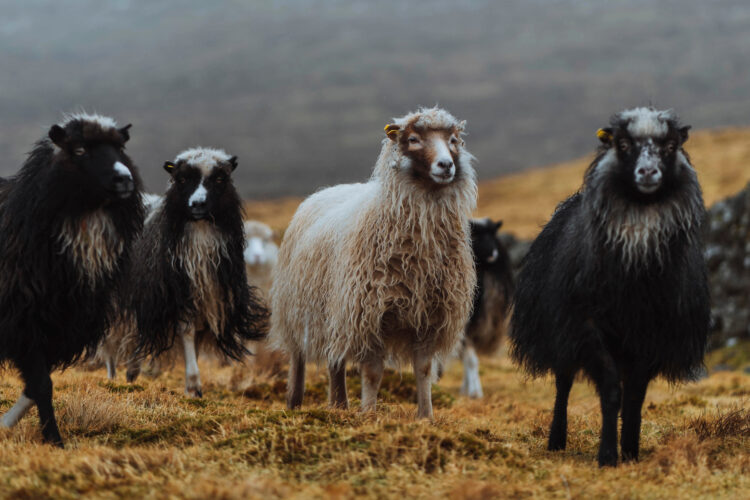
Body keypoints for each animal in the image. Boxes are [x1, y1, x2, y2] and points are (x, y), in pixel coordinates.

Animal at [0, 113, 144, 446]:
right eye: (79, 150)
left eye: (120, 148)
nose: (124, 179)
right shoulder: (25, 320)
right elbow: (42, 385)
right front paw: (54, 440)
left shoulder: (64, 324)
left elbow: (36, 385)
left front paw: (7, 424)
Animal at [126, 147, 268, 397]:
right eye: (182, 179)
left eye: (220, 179)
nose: (198, 204)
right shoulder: (180, 294)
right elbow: (187, 331)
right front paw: (193, 385)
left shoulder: (213, 297)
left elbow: (198, 338)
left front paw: (192, 384)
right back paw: (129, 370)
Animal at [270, 107, 477, 418]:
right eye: (413, 139)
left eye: (453, 140)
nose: (446, 165)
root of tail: (326, 190)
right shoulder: (369, 314)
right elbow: (372, 372)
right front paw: (368, 414)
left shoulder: (430, 315)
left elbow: (423, 370)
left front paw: (425, 416)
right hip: (299, 308)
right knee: (298, 357)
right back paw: (295, 402)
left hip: (335, 312)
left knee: (335, 360)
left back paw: (339, 405)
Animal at [459, 217, 514, 398]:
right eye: (475, 235)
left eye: (493, 234)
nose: (493, 254)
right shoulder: (465, 328)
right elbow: (471, 360)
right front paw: (475, 392)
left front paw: (470, 389)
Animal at [509, 107, 710, 466]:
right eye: (623, 144)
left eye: (671, 145)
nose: (648, 172)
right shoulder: (588, 326)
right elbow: (611, 391)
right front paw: (607, 456)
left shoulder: (652, 332)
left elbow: (635, 397)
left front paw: (629, 451)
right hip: (561, 331)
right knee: (563, 384)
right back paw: (556, 440)